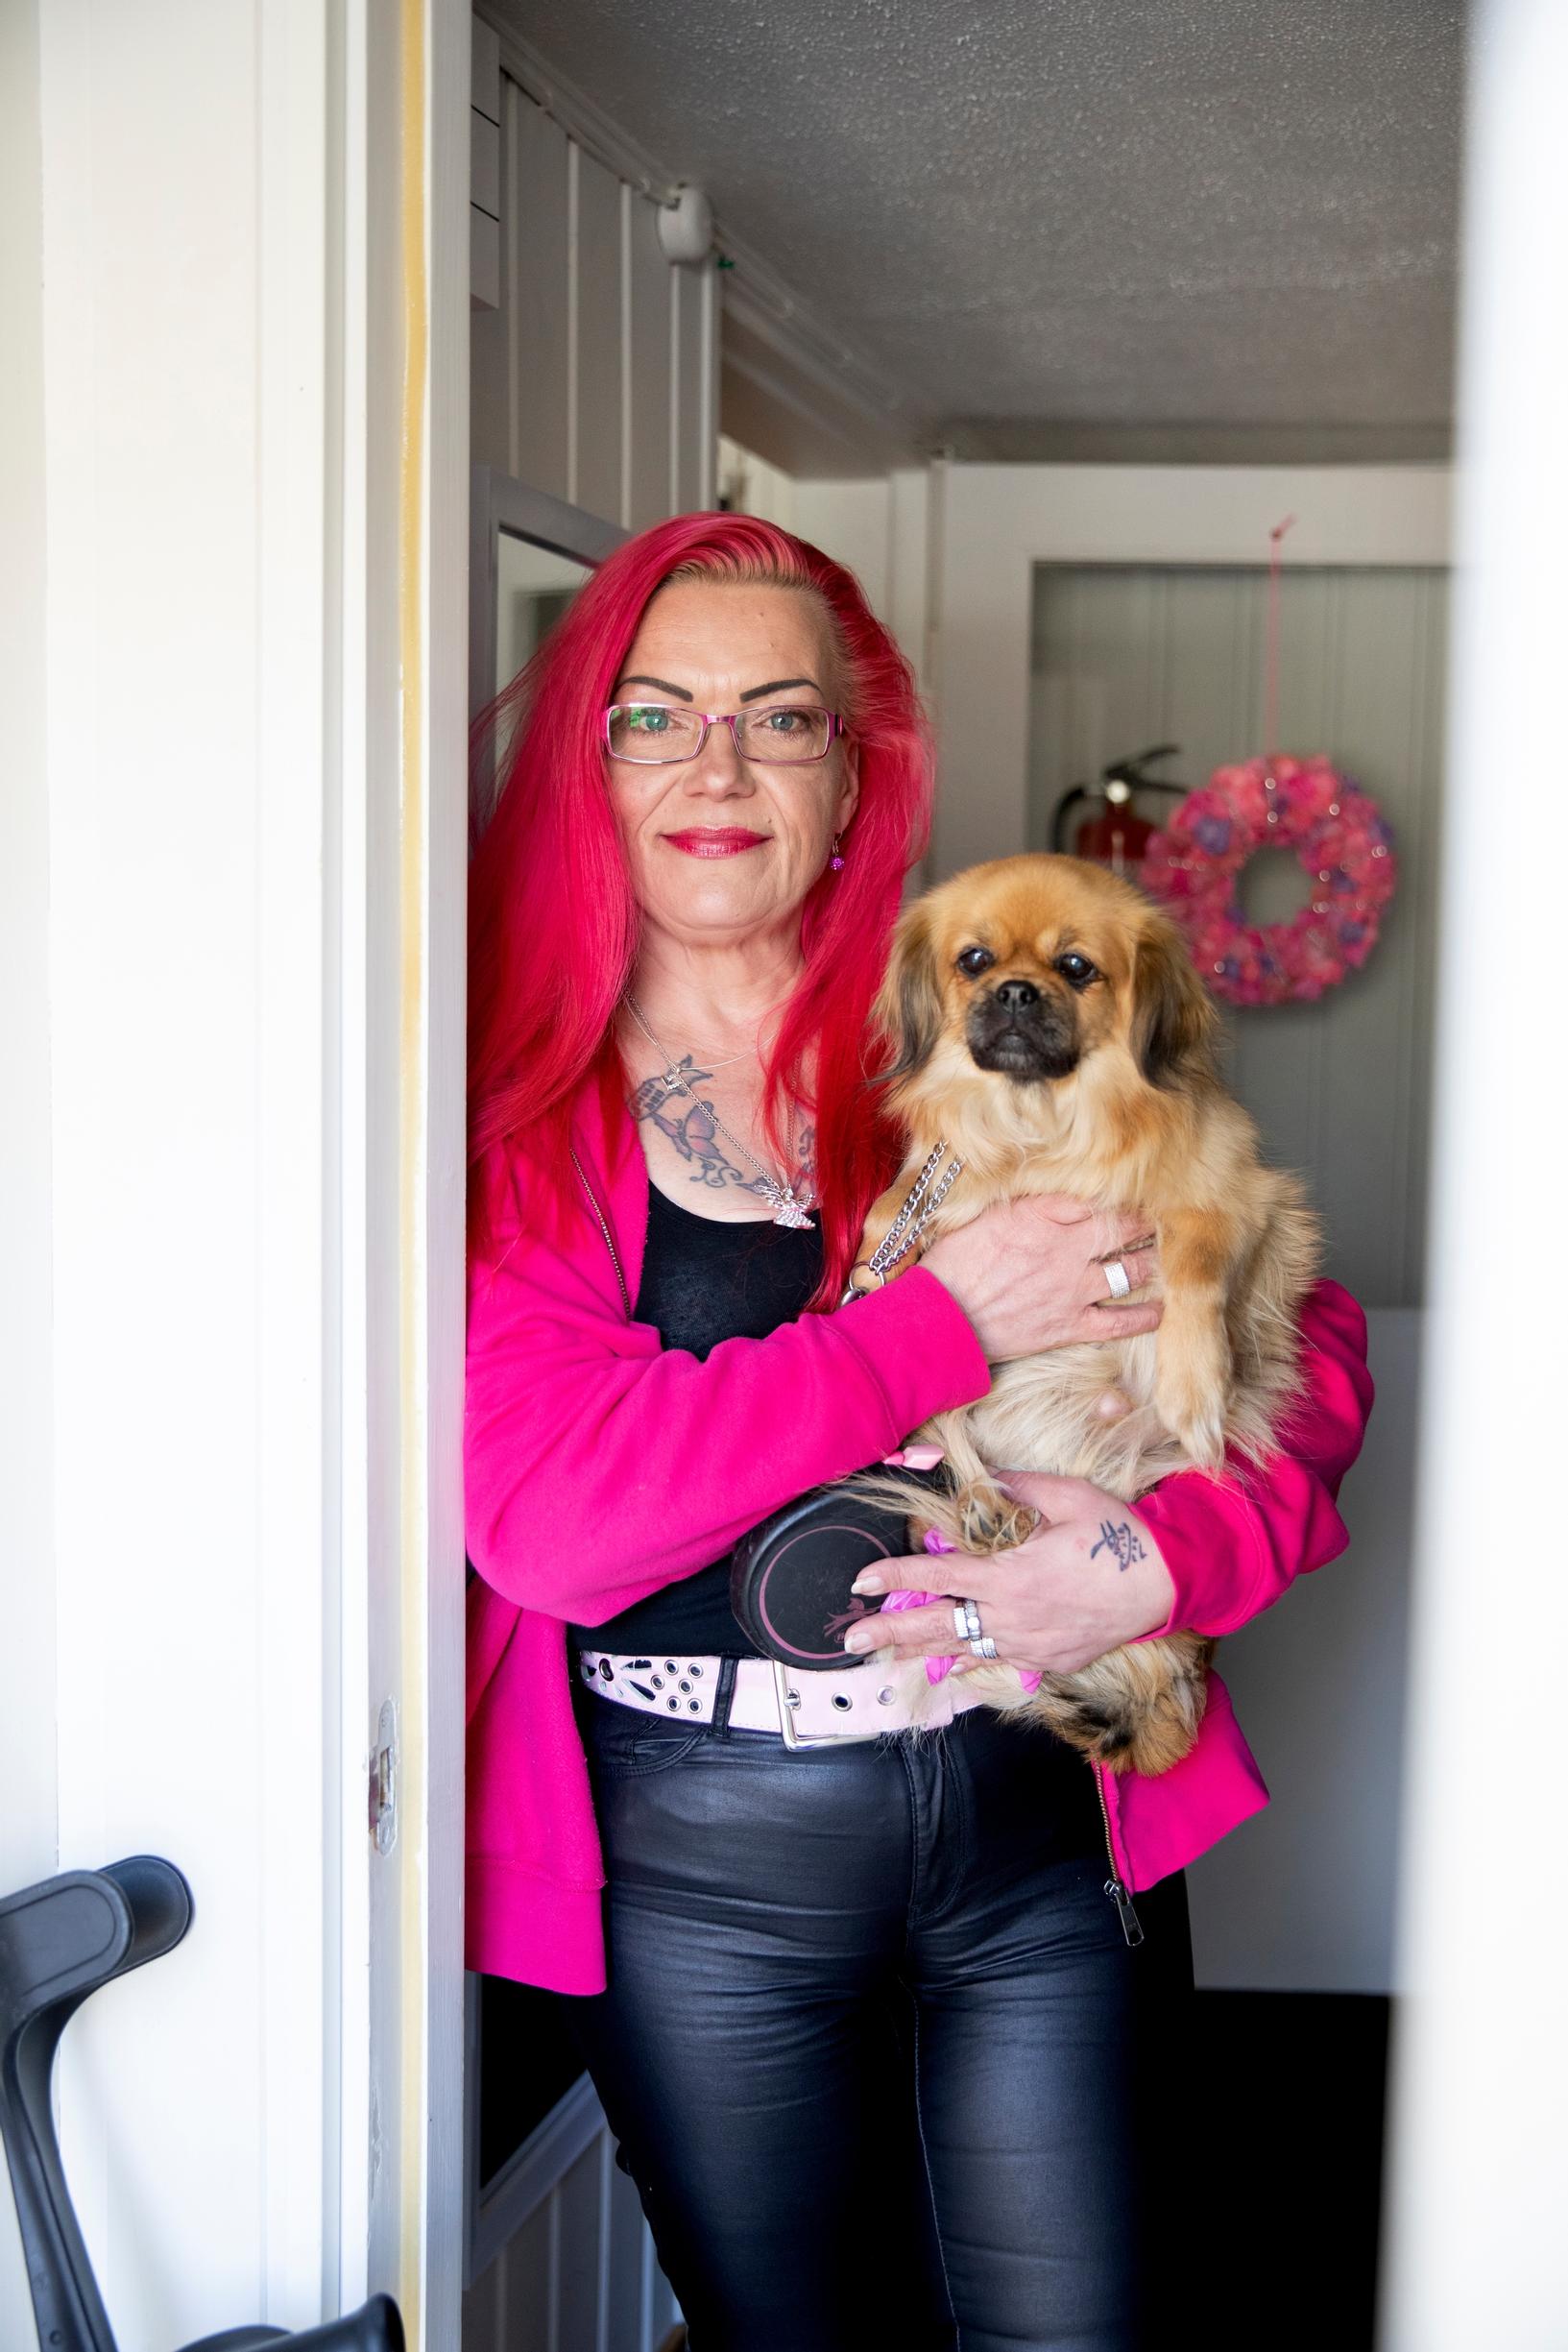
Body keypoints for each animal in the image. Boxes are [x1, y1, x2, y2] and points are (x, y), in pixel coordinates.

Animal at [855, 853, 1320, 1775]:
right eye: (972, 961)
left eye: (1075, 968)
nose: (1015, 991)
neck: (1041, 1129)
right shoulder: (917, 1213)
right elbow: (907, 1306)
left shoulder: (1238, 1200)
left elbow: (1191, 1260)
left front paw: (1192, 1389)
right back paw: (982, 1504)